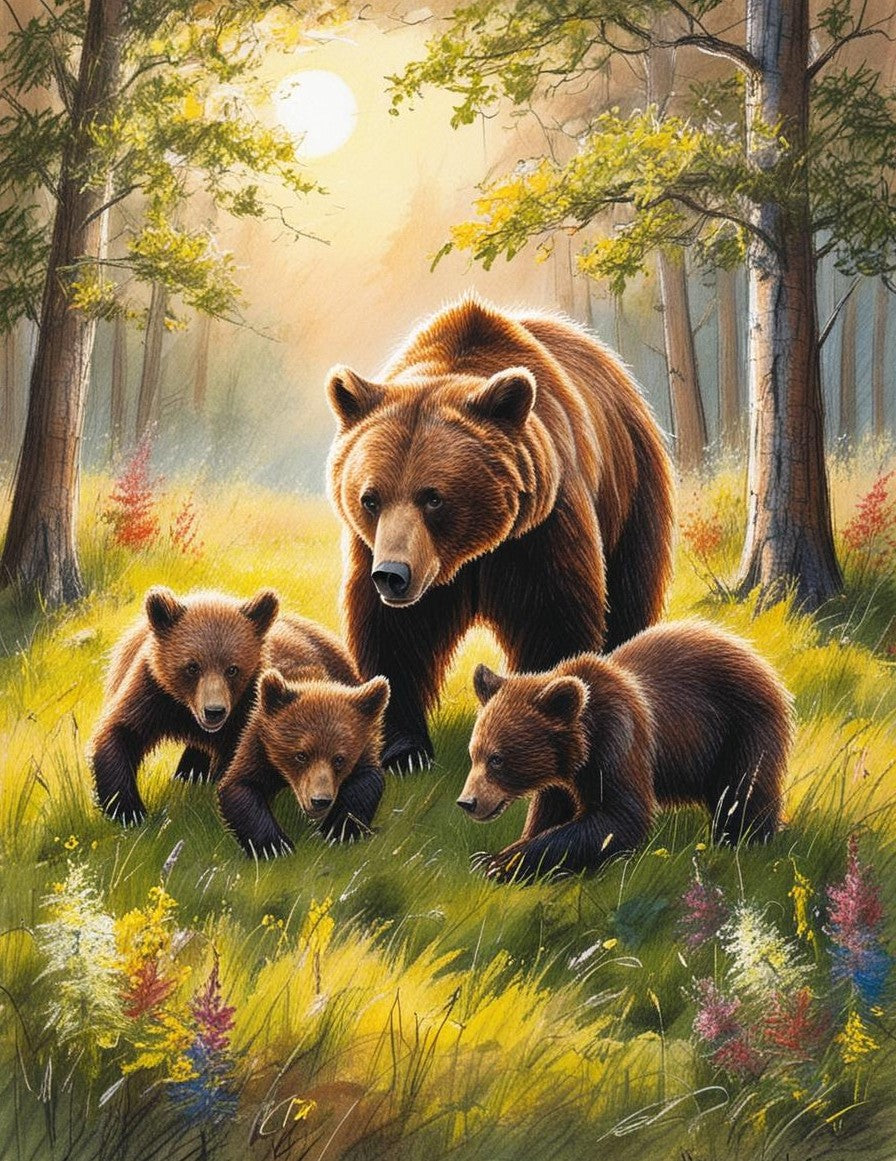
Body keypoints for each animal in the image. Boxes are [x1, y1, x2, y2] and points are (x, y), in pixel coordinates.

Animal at [89, 586, 358, 826]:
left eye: (232, 669)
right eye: (192, 666)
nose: (214, 711)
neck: (188, 714)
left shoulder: (247, 710)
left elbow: (235, 760)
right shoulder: (153, 692)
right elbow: (120, 732)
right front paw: (128, 810)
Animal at [217, 668, 389, 858]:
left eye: (339, 759)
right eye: (301, 755)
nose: (320, 800)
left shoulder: (366, 746)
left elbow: (366, 782)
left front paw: (339, 830)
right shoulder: (259, 747)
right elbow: (241, 787)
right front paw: (276, 846)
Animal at [326, 295, 674, 773]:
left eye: (433, 497)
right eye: (370, 498)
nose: (393, 575)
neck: (471, 551)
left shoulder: (538, 532)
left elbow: (554, 619)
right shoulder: (373, 547)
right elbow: (393, 634)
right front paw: (405, 751)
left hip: (631, 488)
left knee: (629, 598)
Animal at [457, 621, 793, 881]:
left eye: (497, 759)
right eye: (474, 754)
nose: (467, 802)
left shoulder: (619, 740)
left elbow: (618, 817)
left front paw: (503, 863)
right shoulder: (564, 779)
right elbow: (550, 814)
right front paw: (493, 855)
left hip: (742, 725)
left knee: (745, 791)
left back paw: (744, 842)